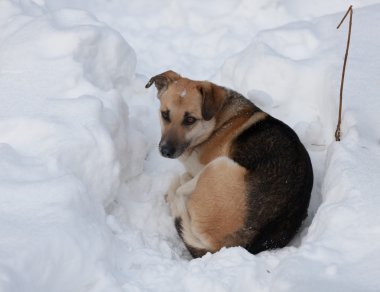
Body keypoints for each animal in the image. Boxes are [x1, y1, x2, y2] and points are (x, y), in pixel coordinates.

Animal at [145, 70, 312, 258]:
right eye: (165, 114)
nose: (165, 151)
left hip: (218, 166)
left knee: (180, 191)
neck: (217, 123)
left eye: (190, 120)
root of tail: (231, 246)